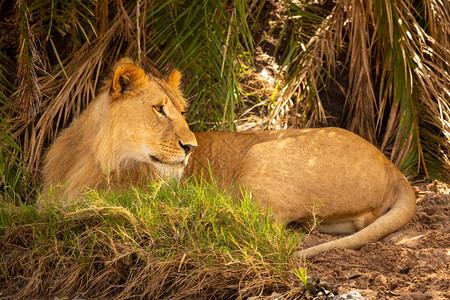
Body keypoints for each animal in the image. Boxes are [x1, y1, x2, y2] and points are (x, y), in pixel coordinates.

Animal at [40, 59, 416, 258]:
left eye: (182, 112)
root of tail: (392, 166)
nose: (191, 147)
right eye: (159, 110)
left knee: (256, 226)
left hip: (263, 154)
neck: (92, 157)